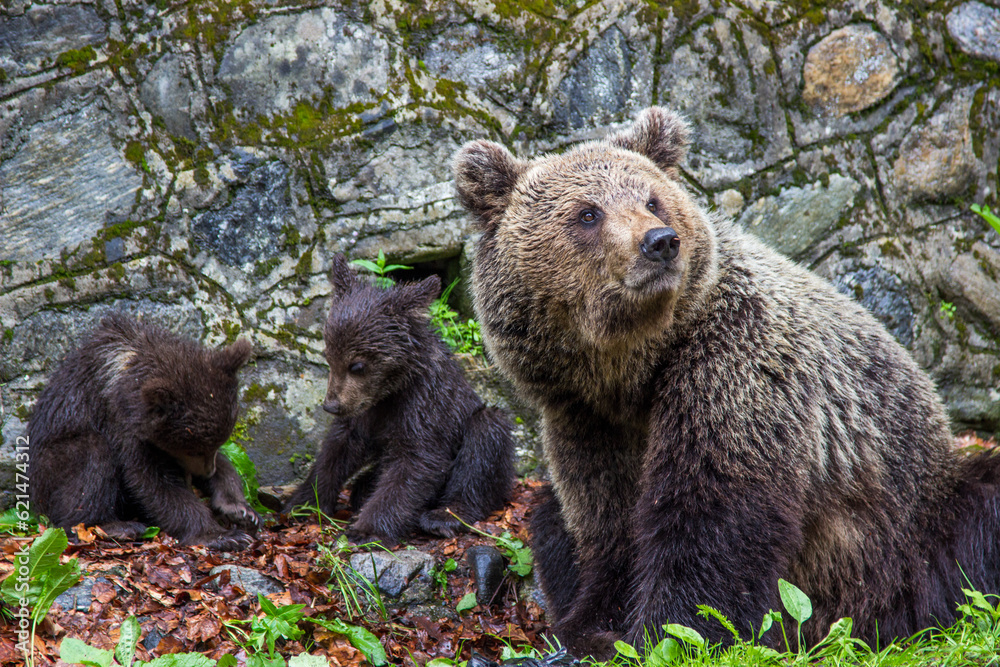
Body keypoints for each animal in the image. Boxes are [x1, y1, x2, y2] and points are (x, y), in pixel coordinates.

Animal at [28, 313, 260, 550]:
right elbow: (151, 482)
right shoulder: (122, 423)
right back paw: (116, 526)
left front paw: (239, 509)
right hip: (51, 464)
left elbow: (224, 465)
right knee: (92, 458)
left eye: (216, 443)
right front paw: (222, 535)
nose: (206, 473)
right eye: (194, 450)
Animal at [284, 254, 515, 542]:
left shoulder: (423, 408)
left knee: (484, 441)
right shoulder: (364, 413)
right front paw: (303, 502)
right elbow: (335, 451)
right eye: (329, 356)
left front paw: (366, 529)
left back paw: (443, 517)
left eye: (357, 365)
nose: (331, 406)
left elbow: (416, 464)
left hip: (478, 430)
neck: (391, 391)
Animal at [453, 107, 1000, 657]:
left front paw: (662, 631)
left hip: (906, 530)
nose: (659, 242)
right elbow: (606, 517)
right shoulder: (585, 417)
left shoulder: (735, 370)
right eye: (588, 213)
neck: (631, 366)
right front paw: (593, 624)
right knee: (548, 516)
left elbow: (711, 519)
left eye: (651, 199)